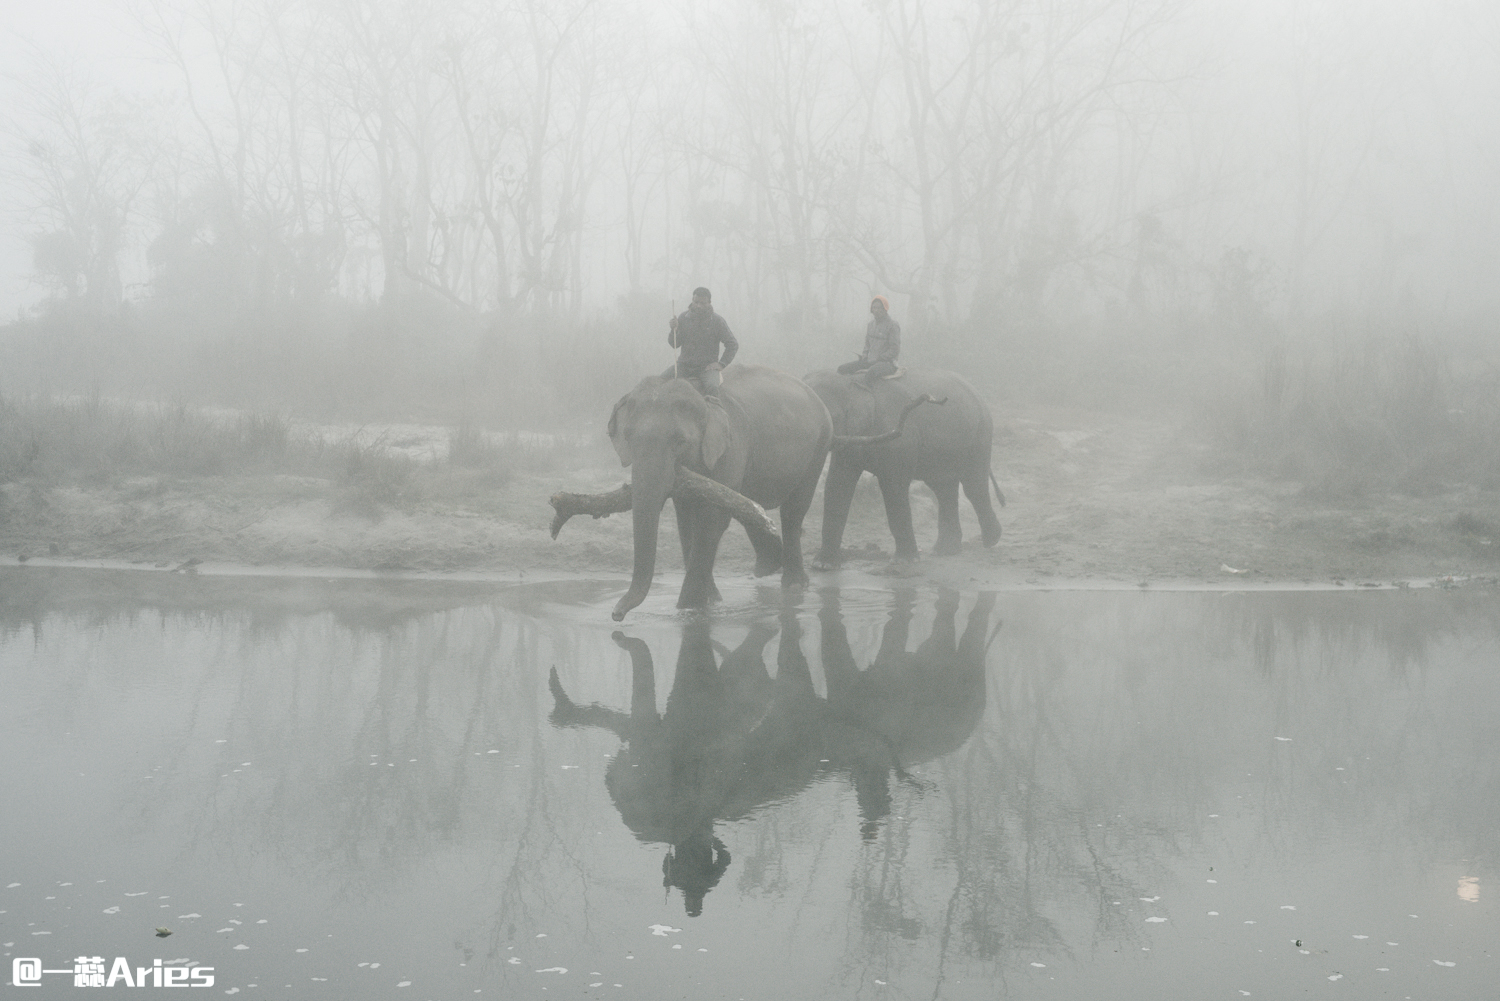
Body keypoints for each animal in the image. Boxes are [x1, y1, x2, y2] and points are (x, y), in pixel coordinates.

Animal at [600, 364, 834, 621]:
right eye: (628, 438)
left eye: (680, 441)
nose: (616, 614)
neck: (701, 397)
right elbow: (686, 522)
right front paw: (711, 600)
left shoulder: (730, 448)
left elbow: (711, 521)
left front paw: (690, 609)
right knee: (750, 505)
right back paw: (767, 567)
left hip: (819, 446)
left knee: (793, 511)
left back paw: (794, 585)